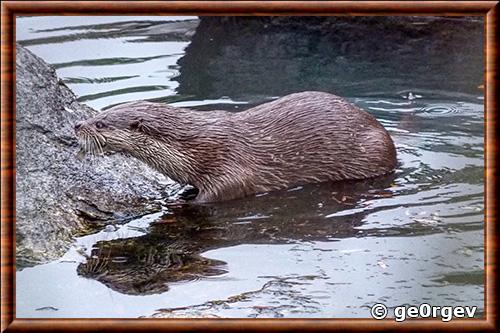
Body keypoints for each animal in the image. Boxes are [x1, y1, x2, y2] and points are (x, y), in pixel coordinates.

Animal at [74, 89, 396, 201]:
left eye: (100, 123)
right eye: (98, 113)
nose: (77, 125)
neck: (195, 147)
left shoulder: (230, 166)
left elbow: (223, 193)